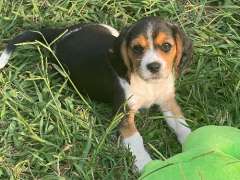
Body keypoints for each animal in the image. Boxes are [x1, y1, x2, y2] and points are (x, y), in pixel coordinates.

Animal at [0, 16, 192, 172]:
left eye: (166, 46)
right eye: (137, 48)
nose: (154, 67)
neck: (148, 84)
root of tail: (60, 33)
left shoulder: (167, 101)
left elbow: (181, 124)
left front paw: (191, 141)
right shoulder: (123, 114)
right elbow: (136, 140)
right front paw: (146, 165)